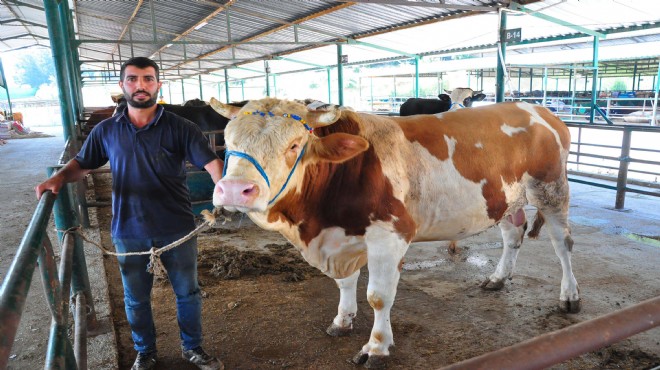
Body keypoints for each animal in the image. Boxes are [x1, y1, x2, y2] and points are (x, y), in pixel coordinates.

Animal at [209, 97, 580, 368]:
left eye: (294, 144)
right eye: (227, 143)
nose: (235, 190)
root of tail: (537, 109)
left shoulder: (390, 237)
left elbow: (378, 296)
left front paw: (376, 347)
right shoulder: (340, 241)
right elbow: (345, 284)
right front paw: (342, 320)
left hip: (550, 189)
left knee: (562, 244)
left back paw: (570, 296)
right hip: (503, 198)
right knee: (512, 235)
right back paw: (498, 278)